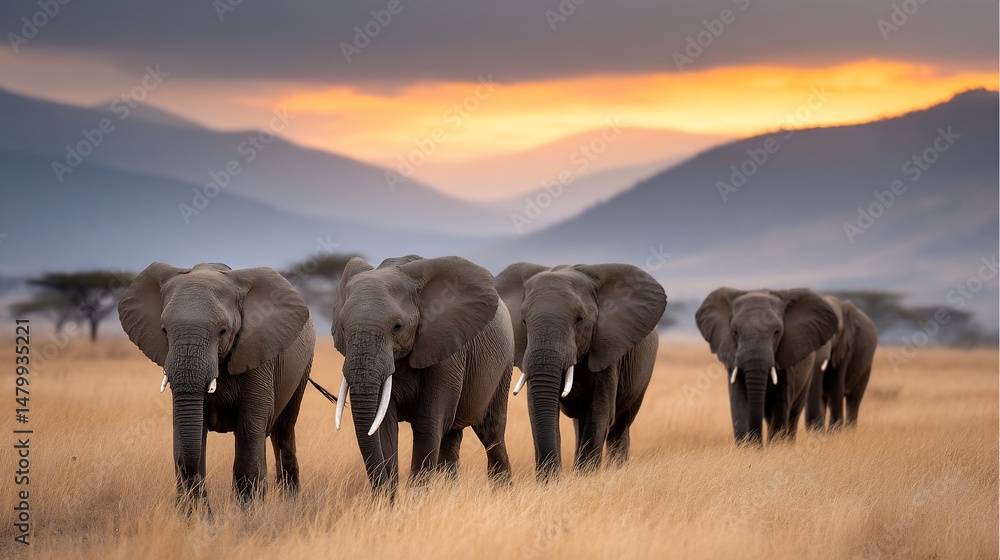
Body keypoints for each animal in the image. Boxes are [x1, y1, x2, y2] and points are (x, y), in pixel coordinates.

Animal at [118, 262, 314, 510]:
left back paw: (289, 505)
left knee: (283, 430)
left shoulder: (258, 359)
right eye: (164, 330)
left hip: (303, 367)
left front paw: (245, 513)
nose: (207, 513)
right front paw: (192, 515)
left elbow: (250, 428)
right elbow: (186, 431)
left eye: (223, 331)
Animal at [330, 255, 514, 497]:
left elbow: (428, 423)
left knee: (491, 432)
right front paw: (388, 503)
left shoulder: (447, 346)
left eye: (397, 327)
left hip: (505, 365)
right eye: (342, 327)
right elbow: (385, 426)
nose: (384, 493)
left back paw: (502, 492)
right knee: (452, 438)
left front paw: (415, 500)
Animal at [494, 262, 666, 480]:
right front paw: (551, 483)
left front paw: (585, 479)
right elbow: (537, 408)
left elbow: (598, 413)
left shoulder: (607, 349)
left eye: (579, 319)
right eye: (524, 322)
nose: (552, 479)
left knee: (620, 425)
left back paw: (616, 470)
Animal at [695, 288, 837, 446]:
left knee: (793, 413)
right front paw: (747, 448)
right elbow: (738, 400)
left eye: (777, 332)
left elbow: (780, 403)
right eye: (735, 332)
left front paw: (775, 447)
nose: (757, 443)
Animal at [805, 295, 878, 430]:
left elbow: (835, 388)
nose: (814, 428)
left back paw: (849, 432)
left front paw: (834, 432)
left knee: (853, 400)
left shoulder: (846, 347)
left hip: (866, 367)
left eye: (836, 332)